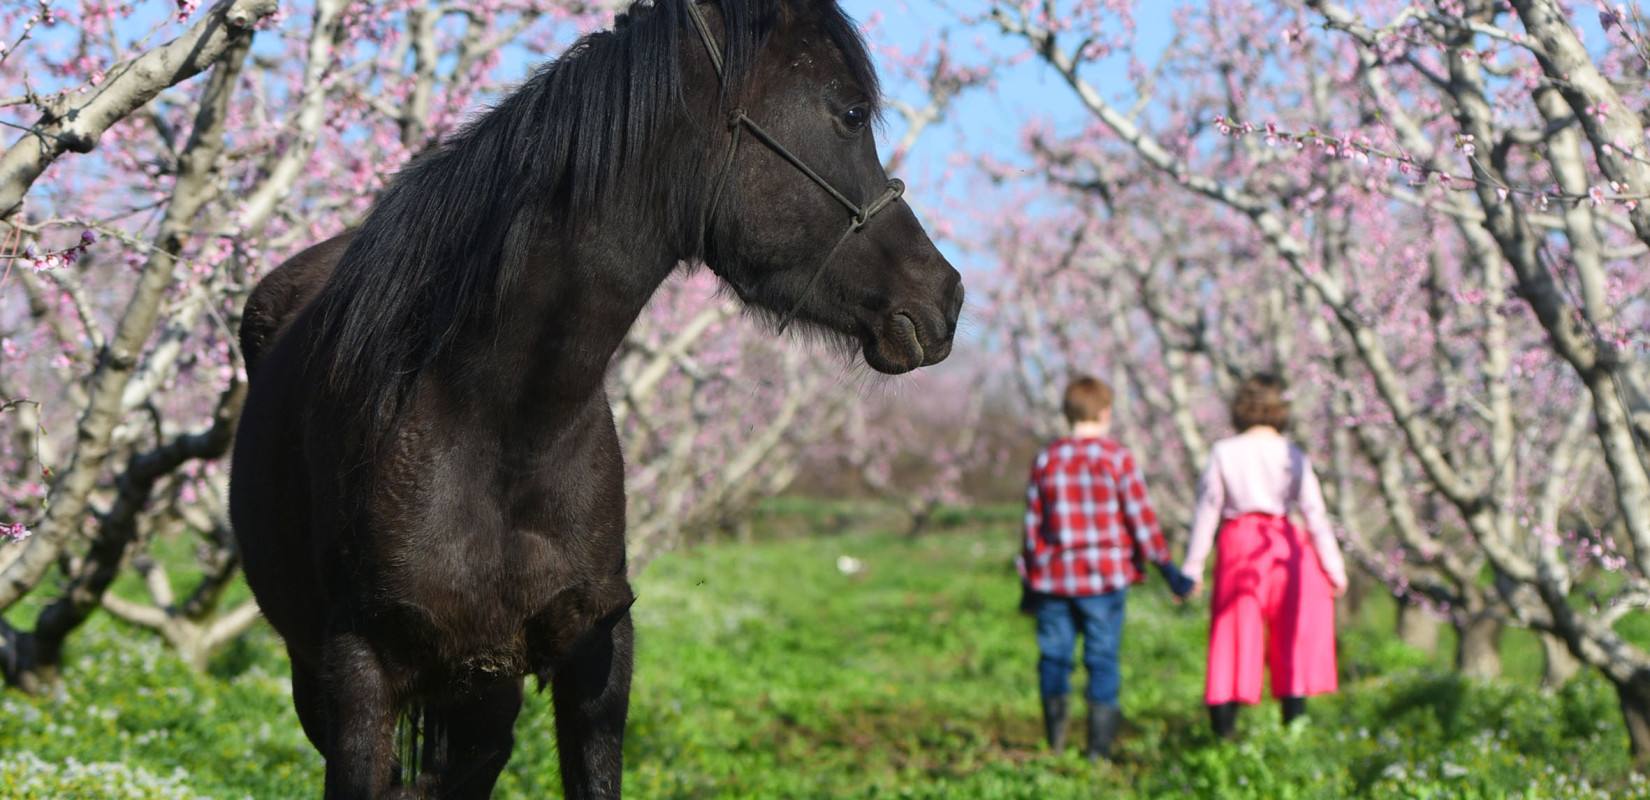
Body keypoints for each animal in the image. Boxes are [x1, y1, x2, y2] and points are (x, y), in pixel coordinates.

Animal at [226, 1, 963, 798]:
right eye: (852, 113)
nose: (947, 296)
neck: (497, 424)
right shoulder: (358, 670)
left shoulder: (598, 650)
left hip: (484, 692)